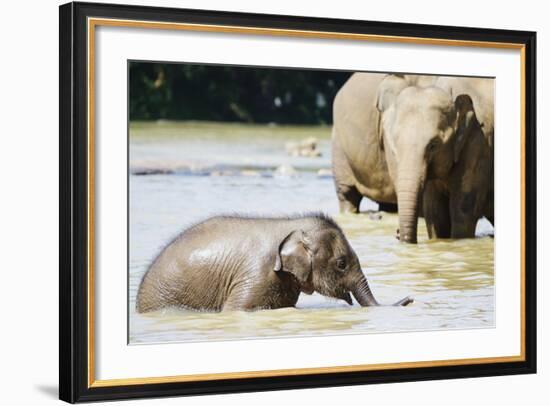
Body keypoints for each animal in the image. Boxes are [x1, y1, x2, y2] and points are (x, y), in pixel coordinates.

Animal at [332, 71, 496, 243]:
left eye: (433, 145)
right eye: (394, 145)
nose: (397, 233)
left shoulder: (479, 142)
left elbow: (462, 212)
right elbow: (436, 215)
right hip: (339, 146)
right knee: (347, 194)